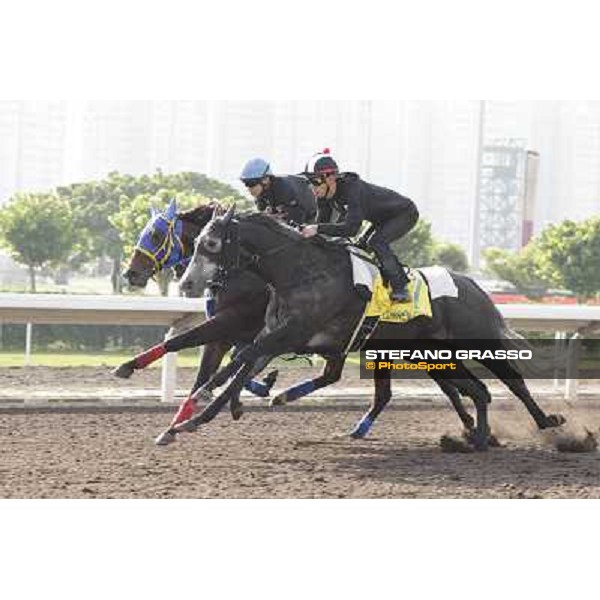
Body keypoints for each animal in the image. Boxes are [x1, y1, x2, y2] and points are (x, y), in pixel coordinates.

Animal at [173, 209, 568, 448]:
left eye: (210, 243)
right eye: (196, 243)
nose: (187, 284)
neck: (301, 273)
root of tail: (474, 286)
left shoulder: (292, 334)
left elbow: (240, 361)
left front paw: (201, 396)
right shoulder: (277, 335)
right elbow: (243, 366)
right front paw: (187, 422)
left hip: (478, 343)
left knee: (511, 382)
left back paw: (547, 423)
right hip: (433, 354)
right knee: (477, 391)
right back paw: (480, 437)